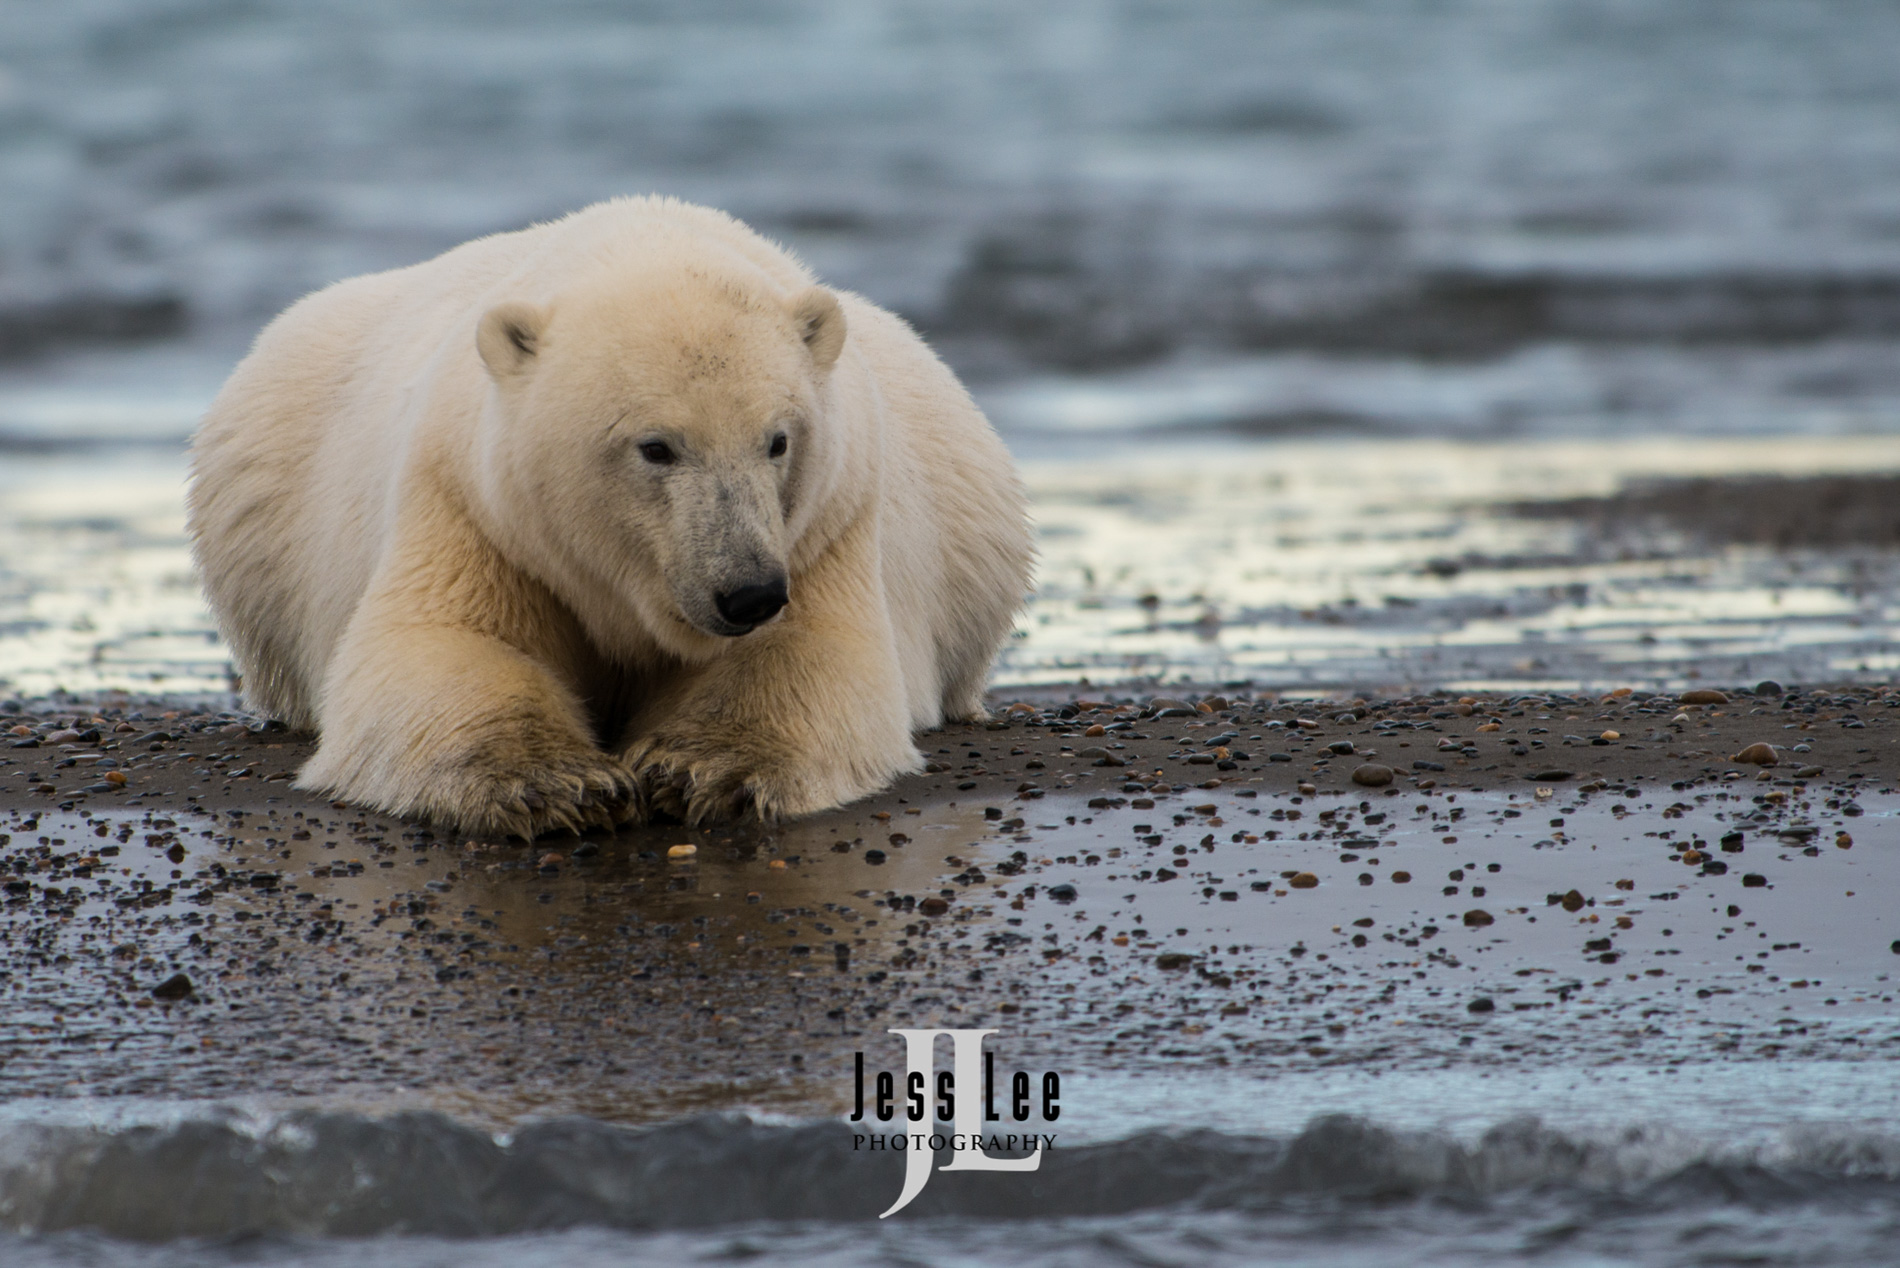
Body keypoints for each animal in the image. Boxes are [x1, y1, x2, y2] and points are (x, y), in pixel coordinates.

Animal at [185, 195, 1033, 832]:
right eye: (656, 447)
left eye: (778, 440)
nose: (748, 592)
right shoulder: (476, 506)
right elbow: (446, 644)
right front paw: (559, 783)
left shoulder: (828, 521)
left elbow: (808, 654)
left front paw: (699, 769)